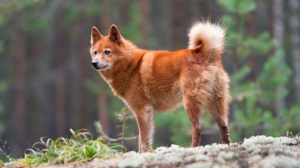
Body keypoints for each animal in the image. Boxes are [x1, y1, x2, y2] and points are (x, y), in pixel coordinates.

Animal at [90, 21, 231, 152]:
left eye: (107, 52)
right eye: (95, 52)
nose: (94, 63)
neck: (131, 65)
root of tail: (204, 52)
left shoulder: (142, 110)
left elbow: (143, 139)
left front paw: (143, 153)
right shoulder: (148, 112)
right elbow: (145, 138)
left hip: (190, 103)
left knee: (197, 128)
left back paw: (192, 148)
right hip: (216, 103)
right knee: (224, 126)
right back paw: (227, 145)